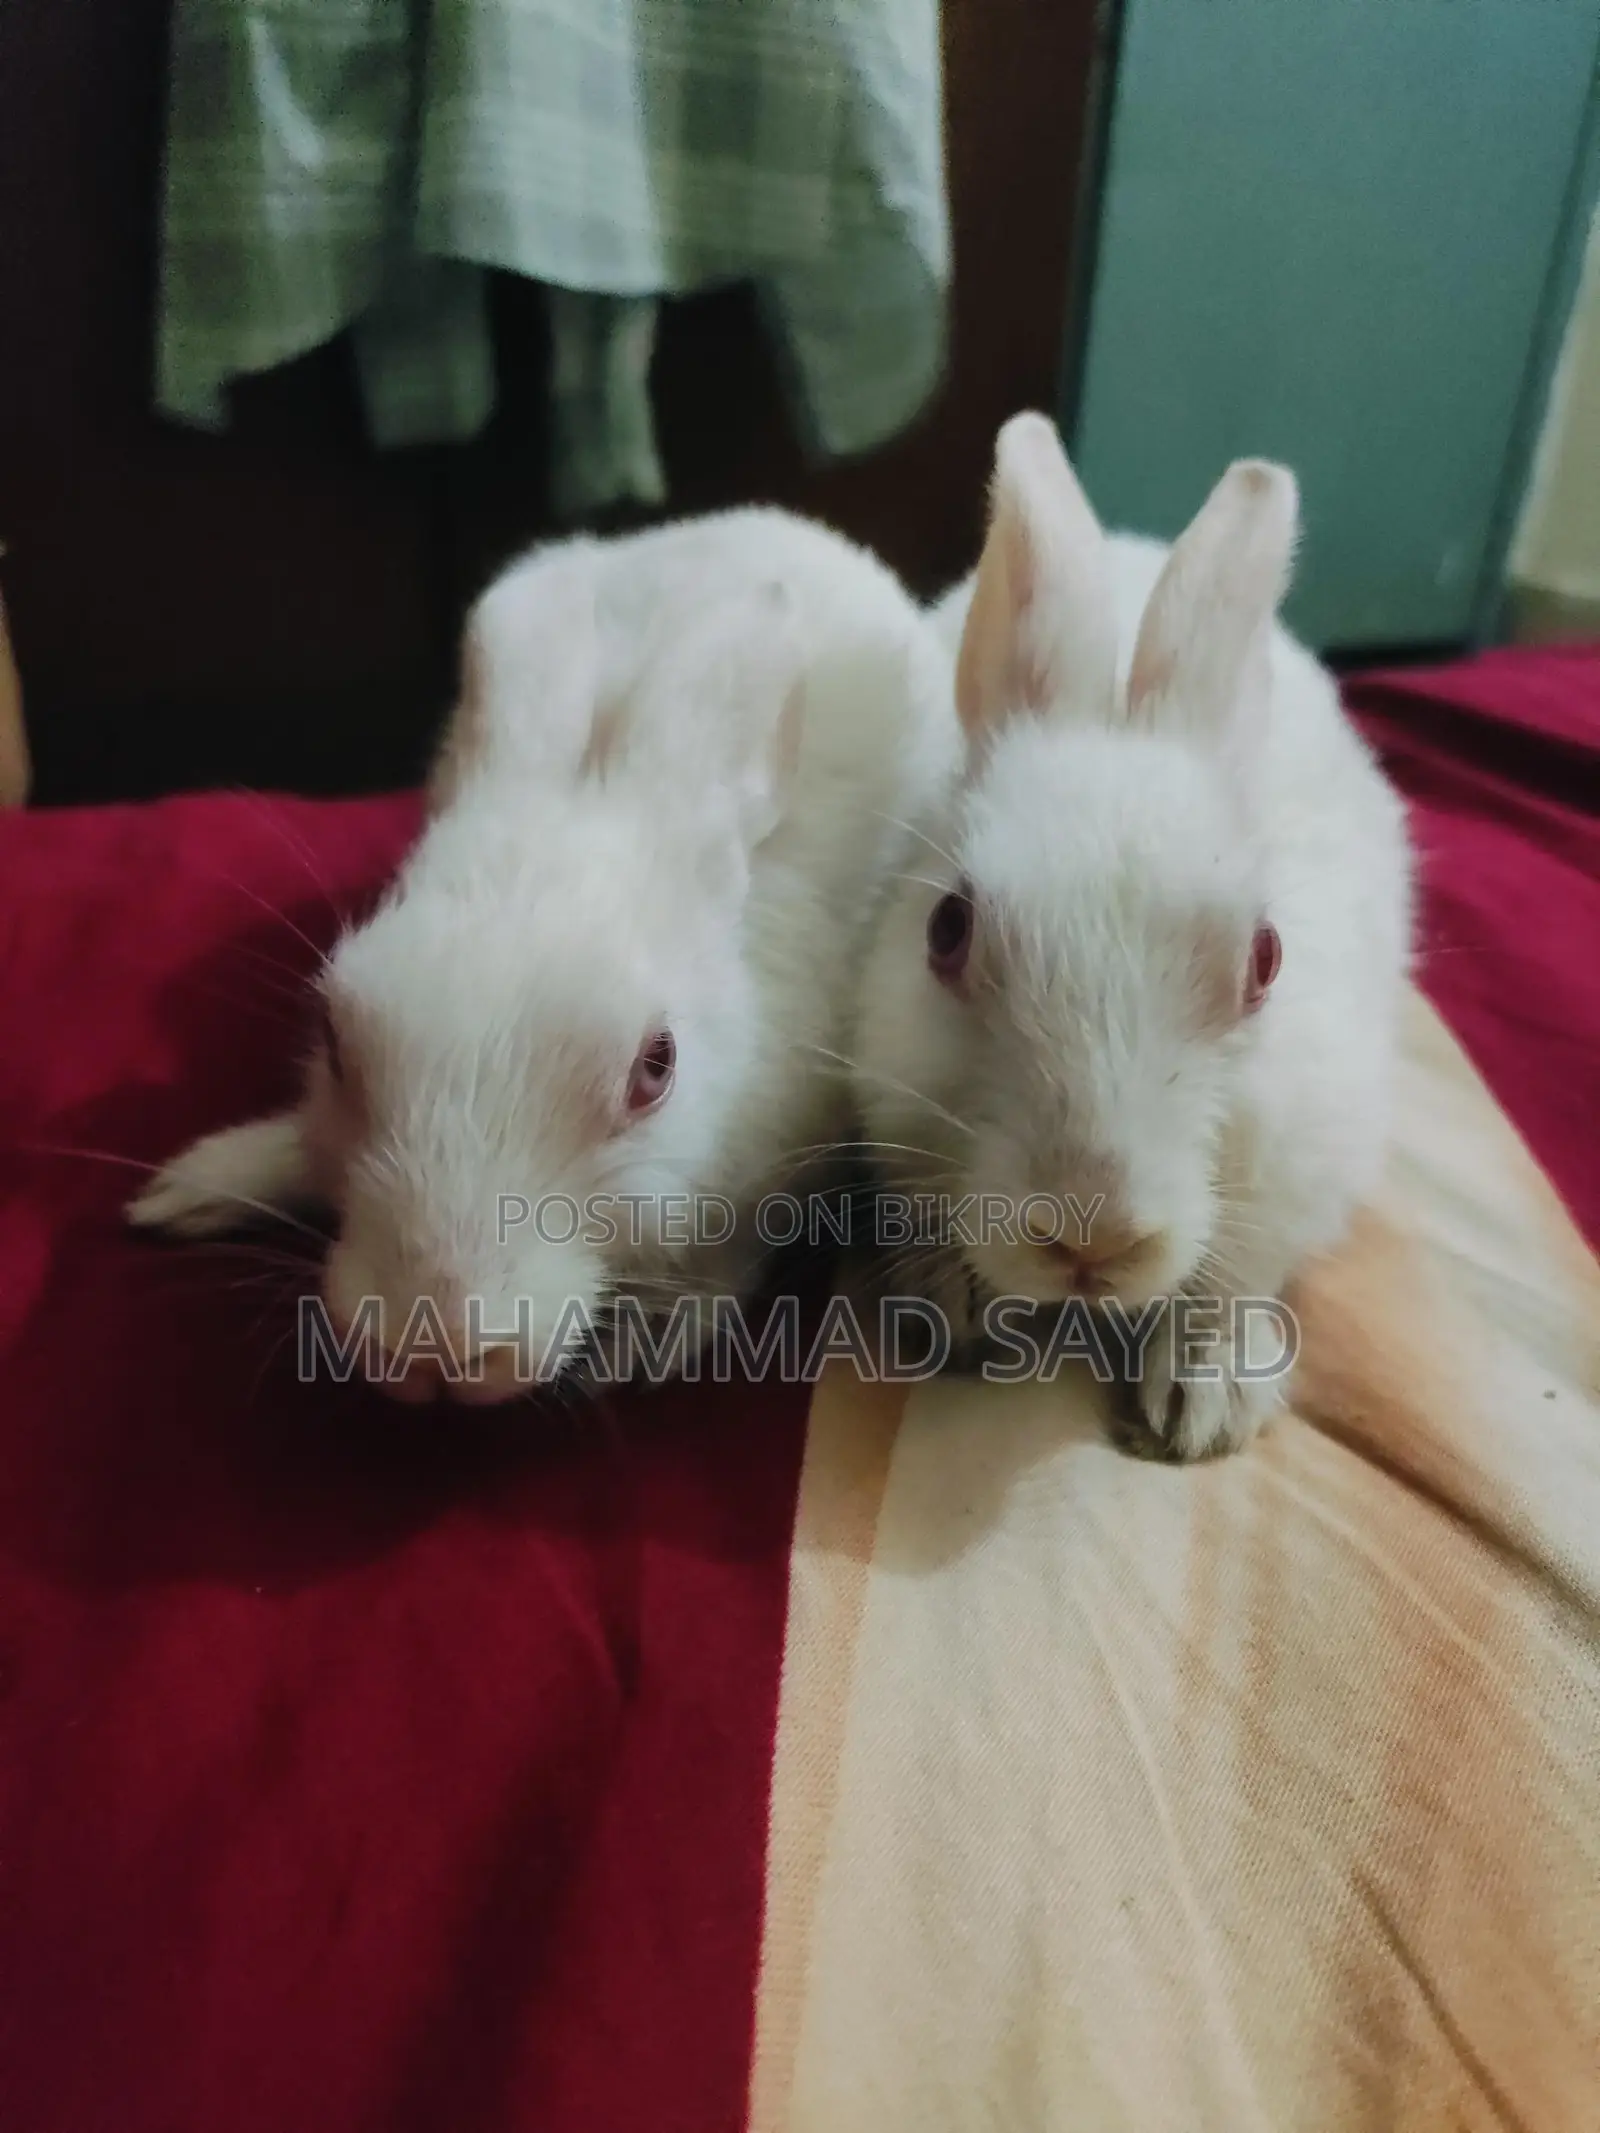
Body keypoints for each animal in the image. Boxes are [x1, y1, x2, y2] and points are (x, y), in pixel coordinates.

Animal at [128, 508, 961, 1403]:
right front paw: (191, 1187)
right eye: (336, 1044)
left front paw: (647, 1342)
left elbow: (728, 1256)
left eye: (655, 1067)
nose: (439, 1346)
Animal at [849, 413, 1413, 1461]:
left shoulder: (1302, 1159)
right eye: (946, 930)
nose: (1091, 1234)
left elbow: (1237, 1277)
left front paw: (1205, 1401)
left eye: (1267, 959)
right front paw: (951, 1305)